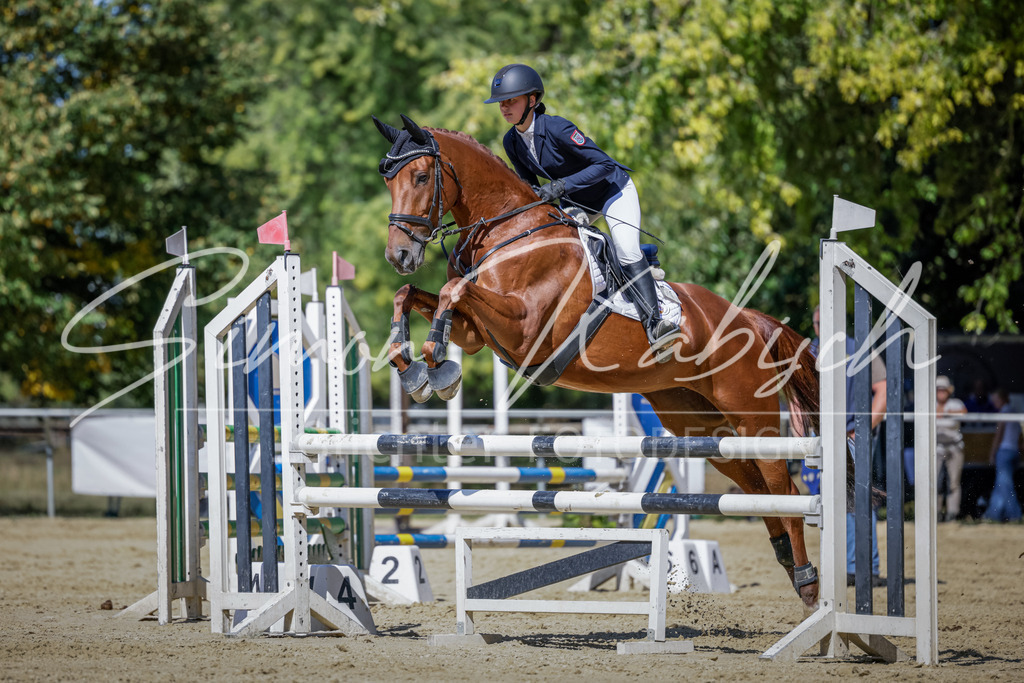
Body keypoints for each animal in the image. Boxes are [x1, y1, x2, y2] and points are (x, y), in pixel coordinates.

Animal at [373, 114, 822, 609]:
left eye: (420, 177)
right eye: (388, 179)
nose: (399, 255)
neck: (510, 232)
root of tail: (746, 318)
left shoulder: (524, 329)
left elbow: (453, 291)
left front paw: (435, 364)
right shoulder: (476, 334)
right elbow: (411, 296)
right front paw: (413, 368)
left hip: (750, 414)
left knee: (782, 486)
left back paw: (807, 581)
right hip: (698, 422)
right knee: (753, 486)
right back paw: (787, 561)